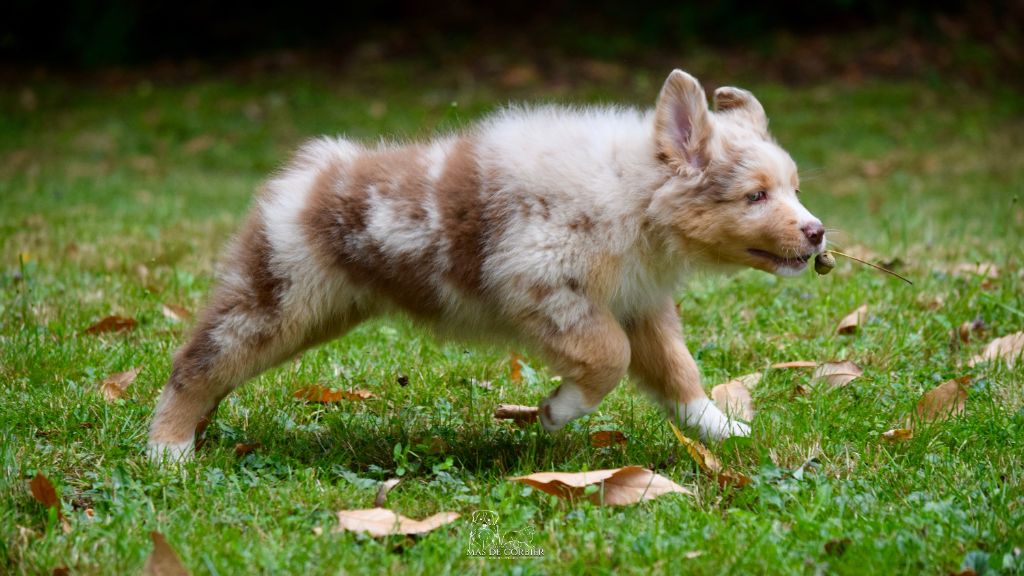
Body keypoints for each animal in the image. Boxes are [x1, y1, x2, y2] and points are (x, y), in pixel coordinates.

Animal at [148, 69, 826, 461]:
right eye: (756, 196)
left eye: (794, 188)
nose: (818, 234)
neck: (634, 195)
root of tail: (306, 172)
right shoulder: (545, 286)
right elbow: (609, 358)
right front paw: (559, 410)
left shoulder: (640, 303)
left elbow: (678, 371)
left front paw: (720, 429)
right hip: (278, 297)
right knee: (196, 363)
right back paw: (169, 450)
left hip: (319, 310)